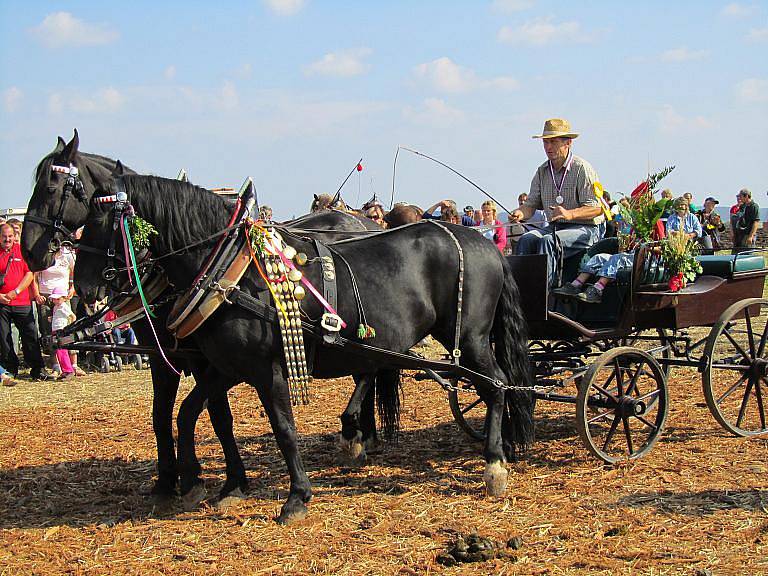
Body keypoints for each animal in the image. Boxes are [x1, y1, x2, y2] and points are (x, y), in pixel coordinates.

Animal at [72, 173, 536, 520]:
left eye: (100, 217)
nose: (83, 287)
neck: (230, 271)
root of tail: (485, 244)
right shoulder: (224, 366)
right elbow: (188, 414)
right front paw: (197, 484)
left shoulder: (266, 370)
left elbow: (284, 428)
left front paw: (296, 497)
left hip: (470, 337)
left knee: (496, 385)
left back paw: (494, 463)